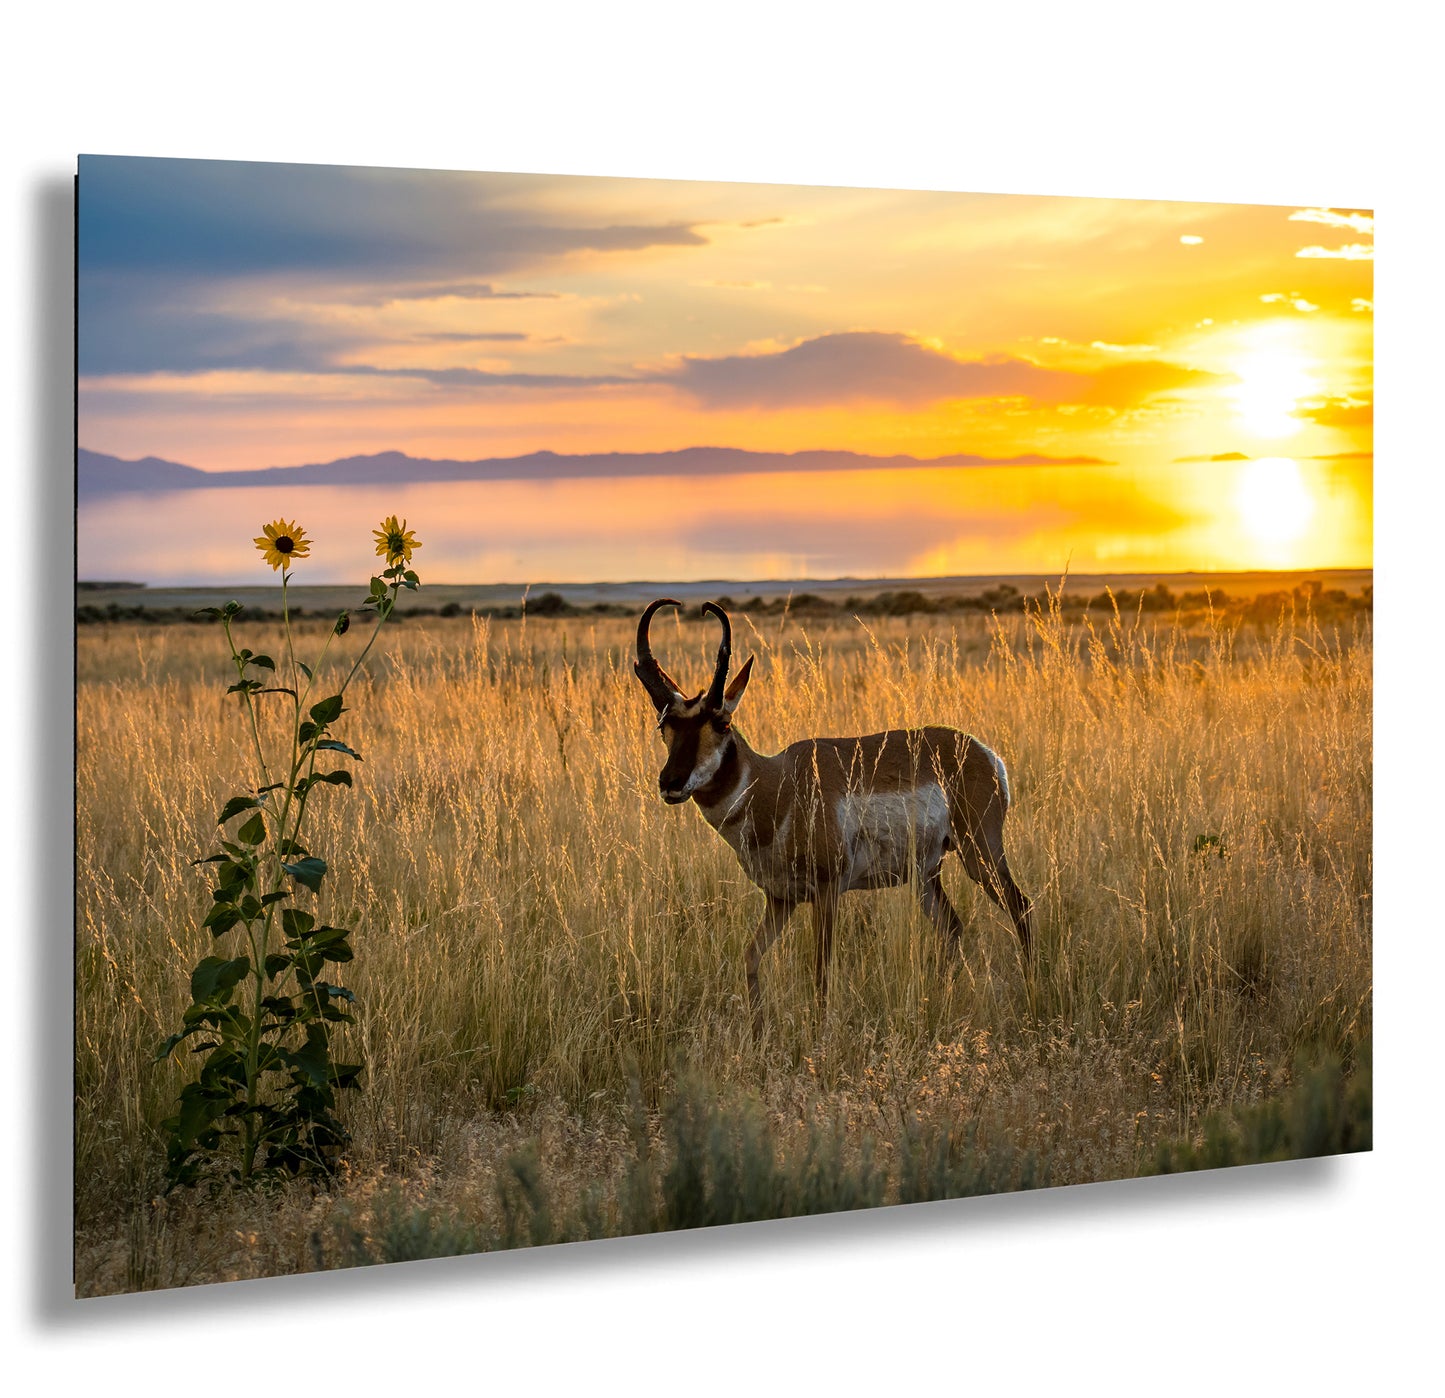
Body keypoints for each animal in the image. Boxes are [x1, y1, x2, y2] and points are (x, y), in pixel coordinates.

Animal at [633, 598, 1033, 1036]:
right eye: (664, 726)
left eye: (721, 723)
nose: (670, 783)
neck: (777, 784)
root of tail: (983, 752)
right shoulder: (780, 900)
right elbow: (751, 958)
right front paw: (758, 1033)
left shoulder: (826, 894)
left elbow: (820, 970)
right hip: (926, 875)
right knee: (953, 927)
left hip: (980, 855)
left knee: (1021, 907)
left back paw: (1032, 993)